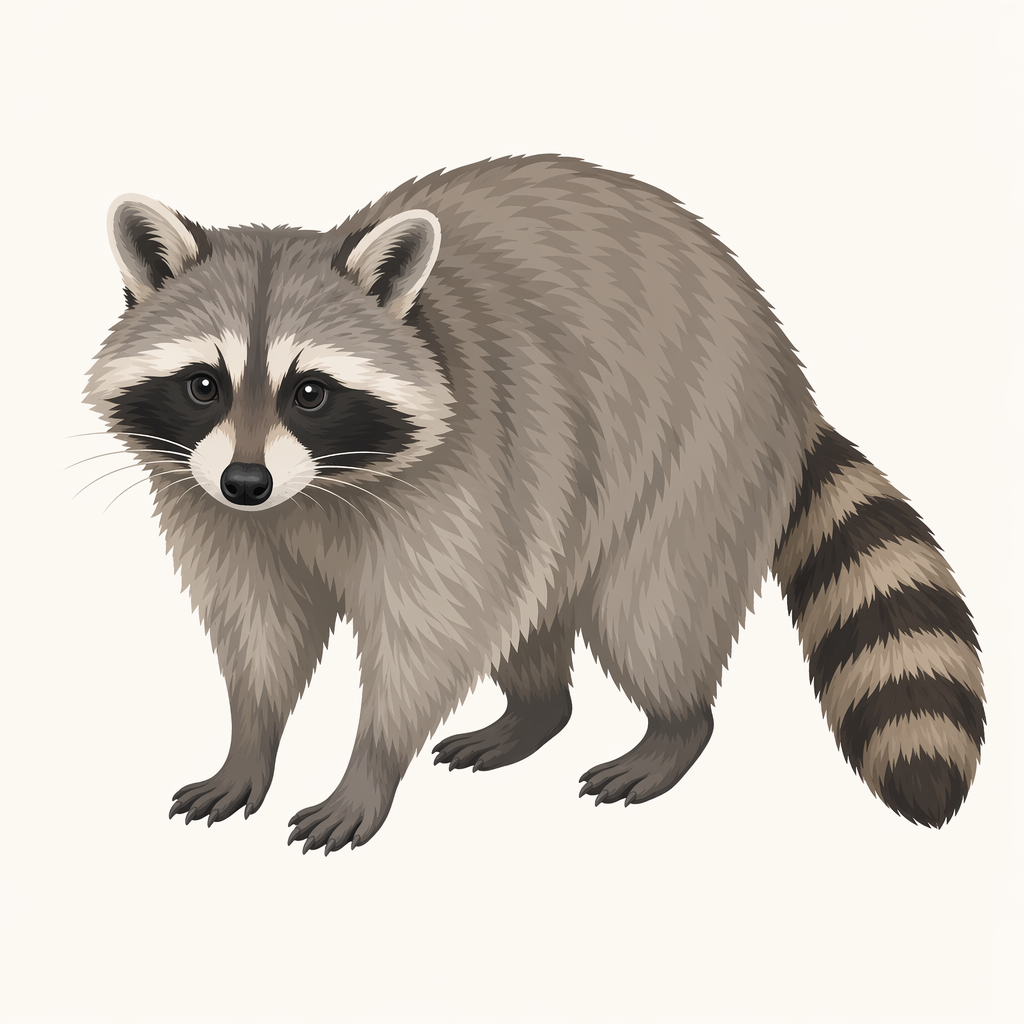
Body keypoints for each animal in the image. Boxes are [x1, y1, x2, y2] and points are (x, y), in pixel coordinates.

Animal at [86, 155, 984, 853]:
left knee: (649, 611)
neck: (316, 490)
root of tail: (789, 371)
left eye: (310, 393)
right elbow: (258, 628)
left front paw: (370, 763)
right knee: (537, 613)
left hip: (703, 458)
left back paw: (674, 727)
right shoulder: (215, 507)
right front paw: (250, 738)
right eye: (203, 385)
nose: (246, 482)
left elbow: (434, 634)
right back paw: (533, 711)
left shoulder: (463, 475)